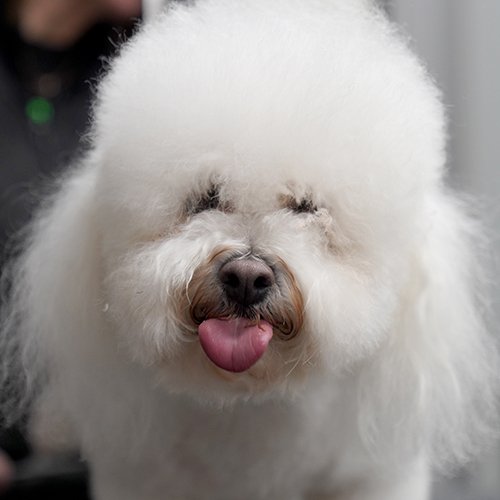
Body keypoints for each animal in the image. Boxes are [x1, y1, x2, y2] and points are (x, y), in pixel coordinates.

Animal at [1, 1, 498, 499]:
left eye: (306, 207)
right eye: (206, 198)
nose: (245, 278)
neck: (248, 401)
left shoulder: (371, 476)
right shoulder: (138, 475)